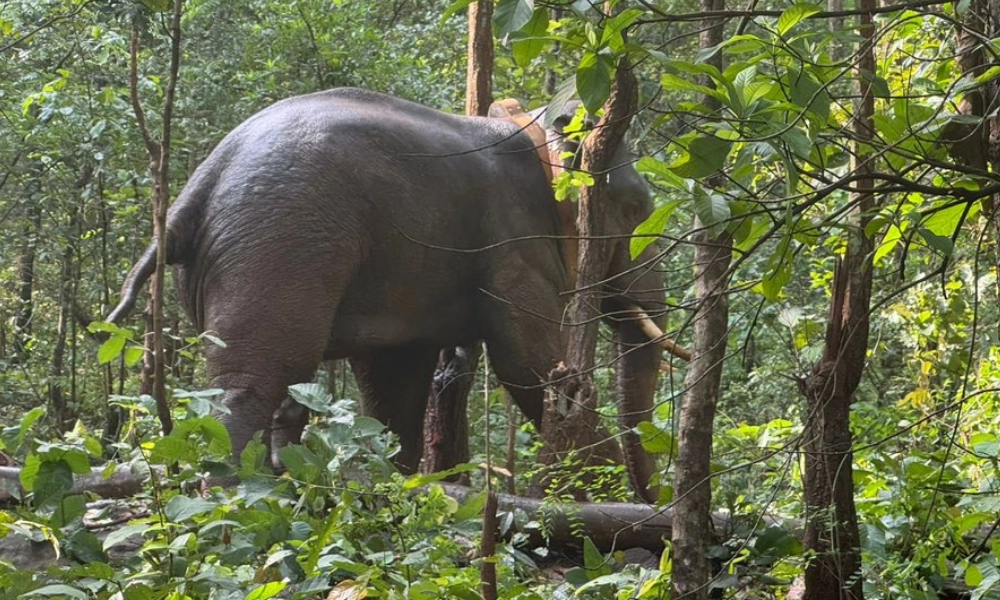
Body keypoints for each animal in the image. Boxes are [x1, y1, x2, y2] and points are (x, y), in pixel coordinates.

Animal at [107, 88, 672, 488]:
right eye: (634, 210)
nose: (654, 504)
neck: (530, 126)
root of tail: (192, 191)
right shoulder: (514, 242)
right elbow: (526, 362)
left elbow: (394, 380)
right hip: (278, 244)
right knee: (256, 379)